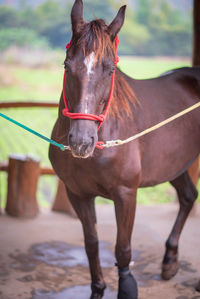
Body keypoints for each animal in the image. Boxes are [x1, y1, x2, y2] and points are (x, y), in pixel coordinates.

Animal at [49, 1, 200, 298]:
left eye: (110, 70)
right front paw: (97, 289)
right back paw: (169, 261)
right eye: (67, 65)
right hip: (175, 164)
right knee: (188, 196)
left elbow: (123, 250)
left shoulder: (126, 194)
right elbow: (91, 244)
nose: (81, 141)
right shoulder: (77, 194)